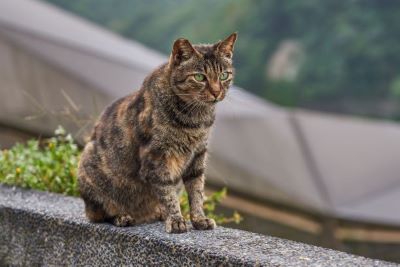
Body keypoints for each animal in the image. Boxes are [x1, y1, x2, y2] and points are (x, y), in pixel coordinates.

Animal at [78, 32, 238, 233]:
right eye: (200, 77)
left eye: (224, 75)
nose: (217, 92)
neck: (195, 119)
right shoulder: (157, 157)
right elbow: (167, 192)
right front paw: (176, 220)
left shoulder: (198, 156)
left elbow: (196, 192)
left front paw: (199, 219)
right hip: (90, 170)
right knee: (99, 214)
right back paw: (122, 217)